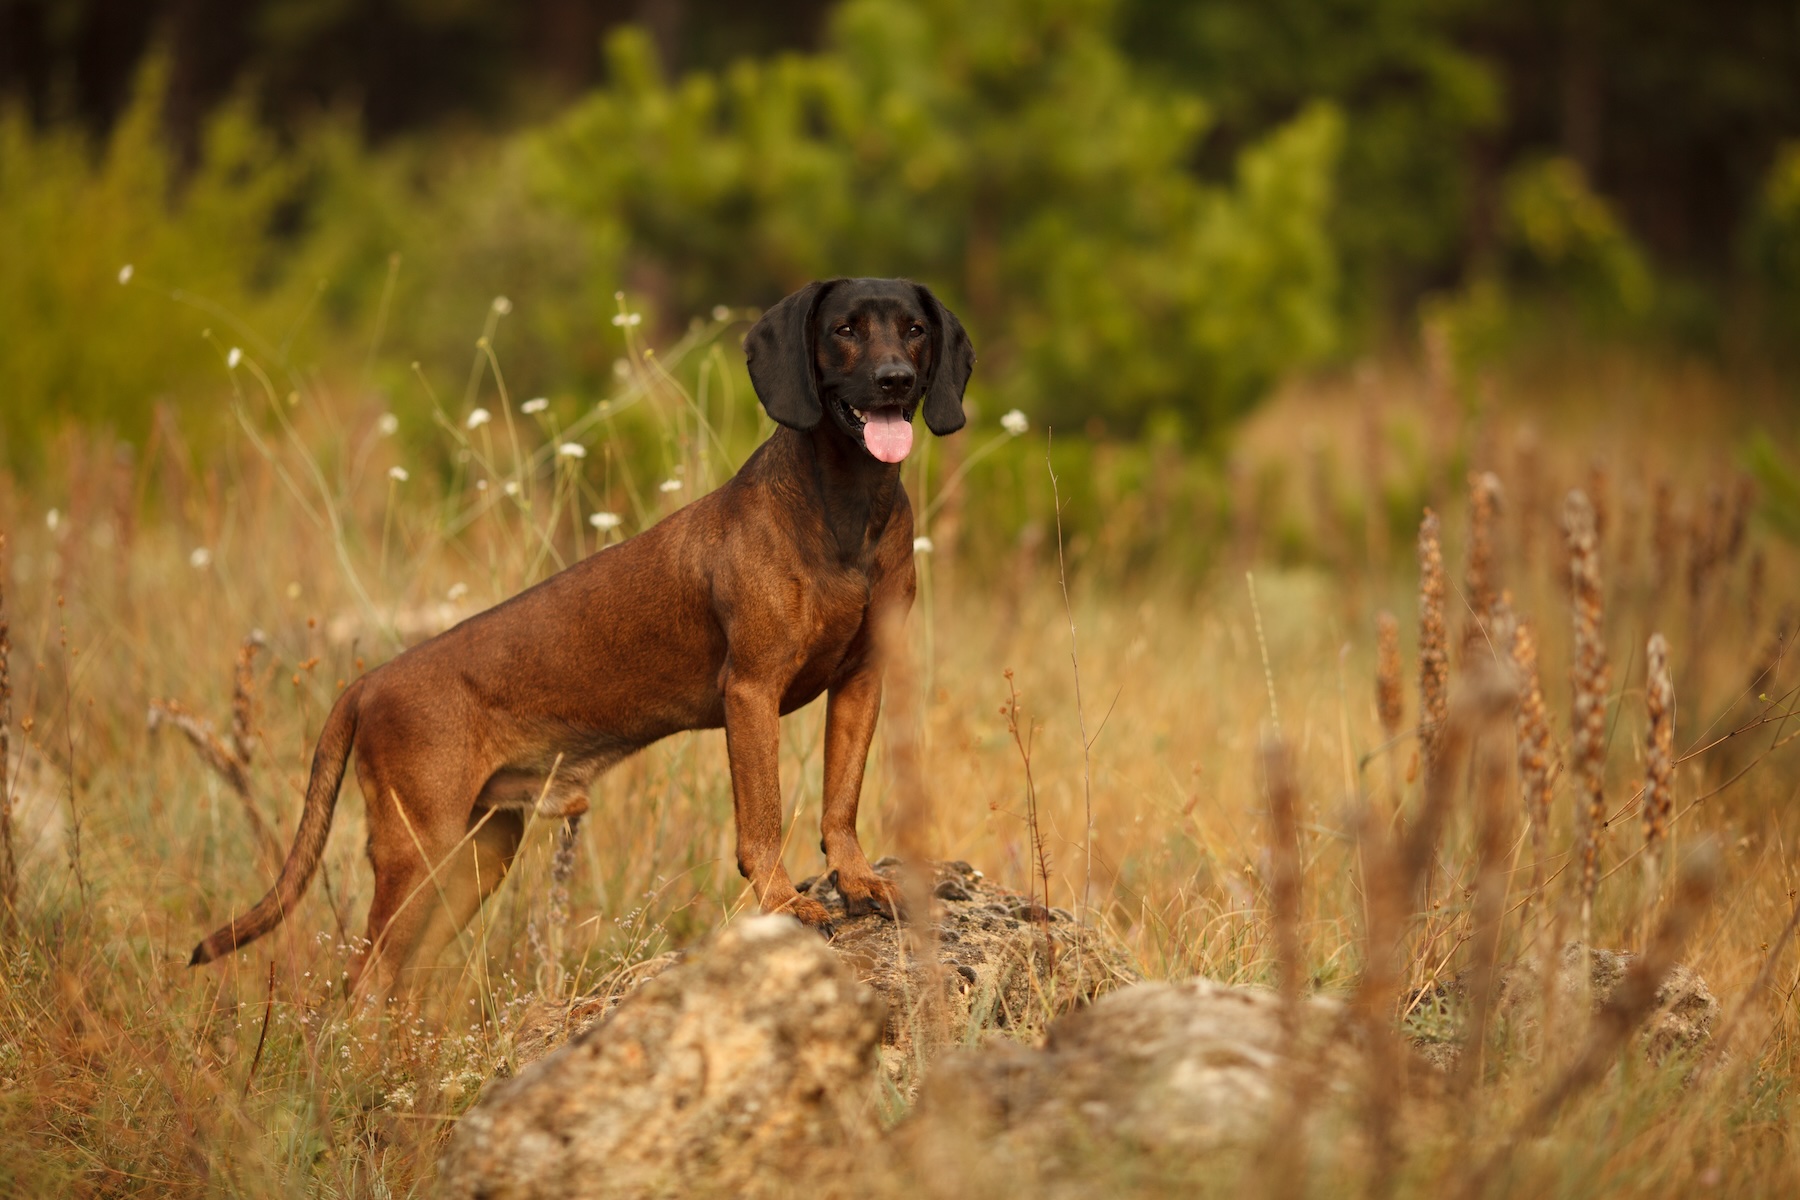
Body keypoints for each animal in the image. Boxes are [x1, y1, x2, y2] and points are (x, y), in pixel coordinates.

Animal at [191, 278, 979, 993]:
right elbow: (762, 816)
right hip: (417, 849)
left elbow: (840, 801)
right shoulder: (753, 690)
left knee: (393, 982)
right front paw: (786, 902)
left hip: (477, 857)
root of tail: (367, 682)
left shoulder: (863, 679)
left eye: (914, 330)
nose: (894, 379)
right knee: (362, 982)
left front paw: (857, 879)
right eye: (845, 329)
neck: (847, 505)